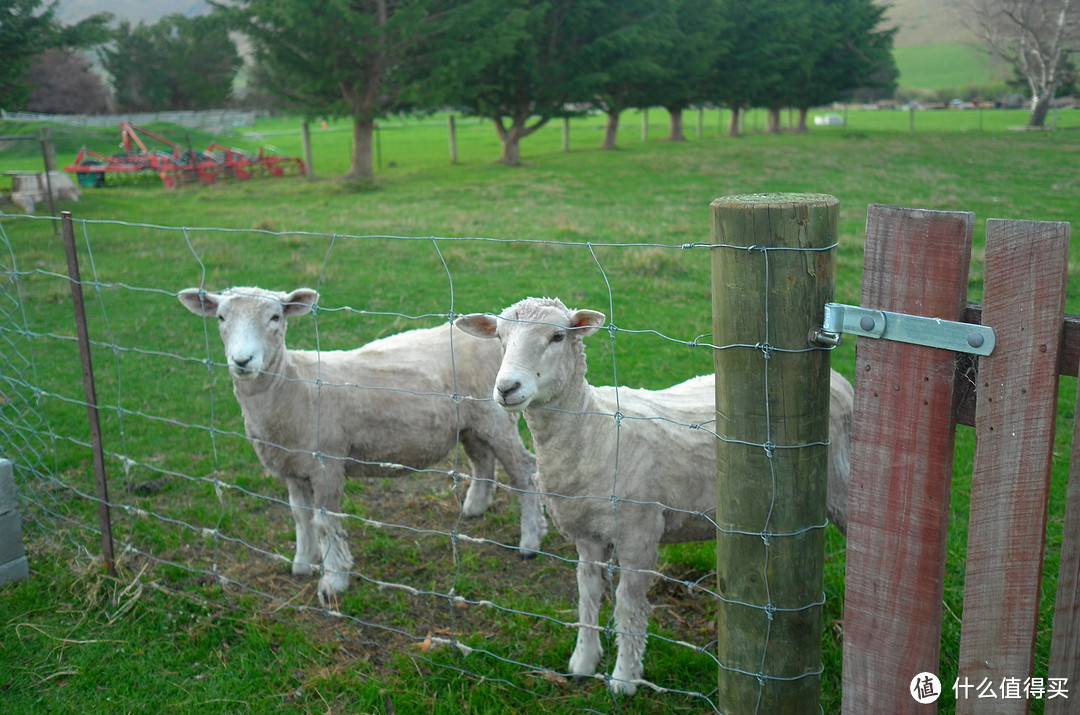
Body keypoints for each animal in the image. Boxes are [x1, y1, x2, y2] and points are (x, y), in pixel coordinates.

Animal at [181, 285, 548, 604]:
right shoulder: (291, 467)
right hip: (471, 422)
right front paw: (302, 562)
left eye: (275, 317)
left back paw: (530, 540)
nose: (243, 361)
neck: (293, 386)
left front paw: (333, 578)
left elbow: (324, 520)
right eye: (221, 318)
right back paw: (474, 507)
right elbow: (300, 516)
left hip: (496, 416)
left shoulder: (326, 464)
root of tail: (497, 334)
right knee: (481, 458)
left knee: (524, 470)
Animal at [455, 295, 851, 695]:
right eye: (500, 337)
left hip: (839, 484)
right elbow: (587, 594)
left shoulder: (639, 534)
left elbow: (628, 606)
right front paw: (583, 661)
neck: (592, 430)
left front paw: (624, 678)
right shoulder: (586, 533)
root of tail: (838, 379)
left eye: (557, 336)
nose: (507, 388)